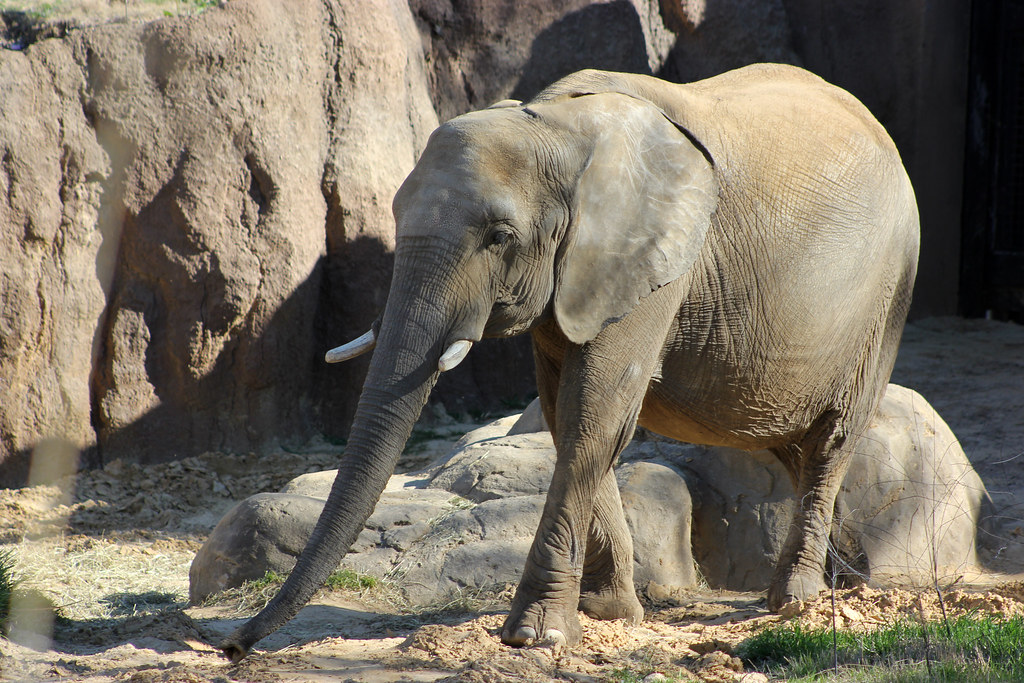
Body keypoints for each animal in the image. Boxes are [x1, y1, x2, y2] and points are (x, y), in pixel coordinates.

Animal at [222, 63, 921, 663]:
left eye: (499, 237)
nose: (232, 645)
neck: (555, 126)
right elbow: (567, 416)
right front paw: (607, 613)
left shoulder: (651, 262)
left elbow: (597, 412)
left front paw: (535, 636)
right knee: (793, 448)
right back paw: (839, 581)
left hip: (889, 292)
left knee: (832, 439)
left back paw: (794, 603)